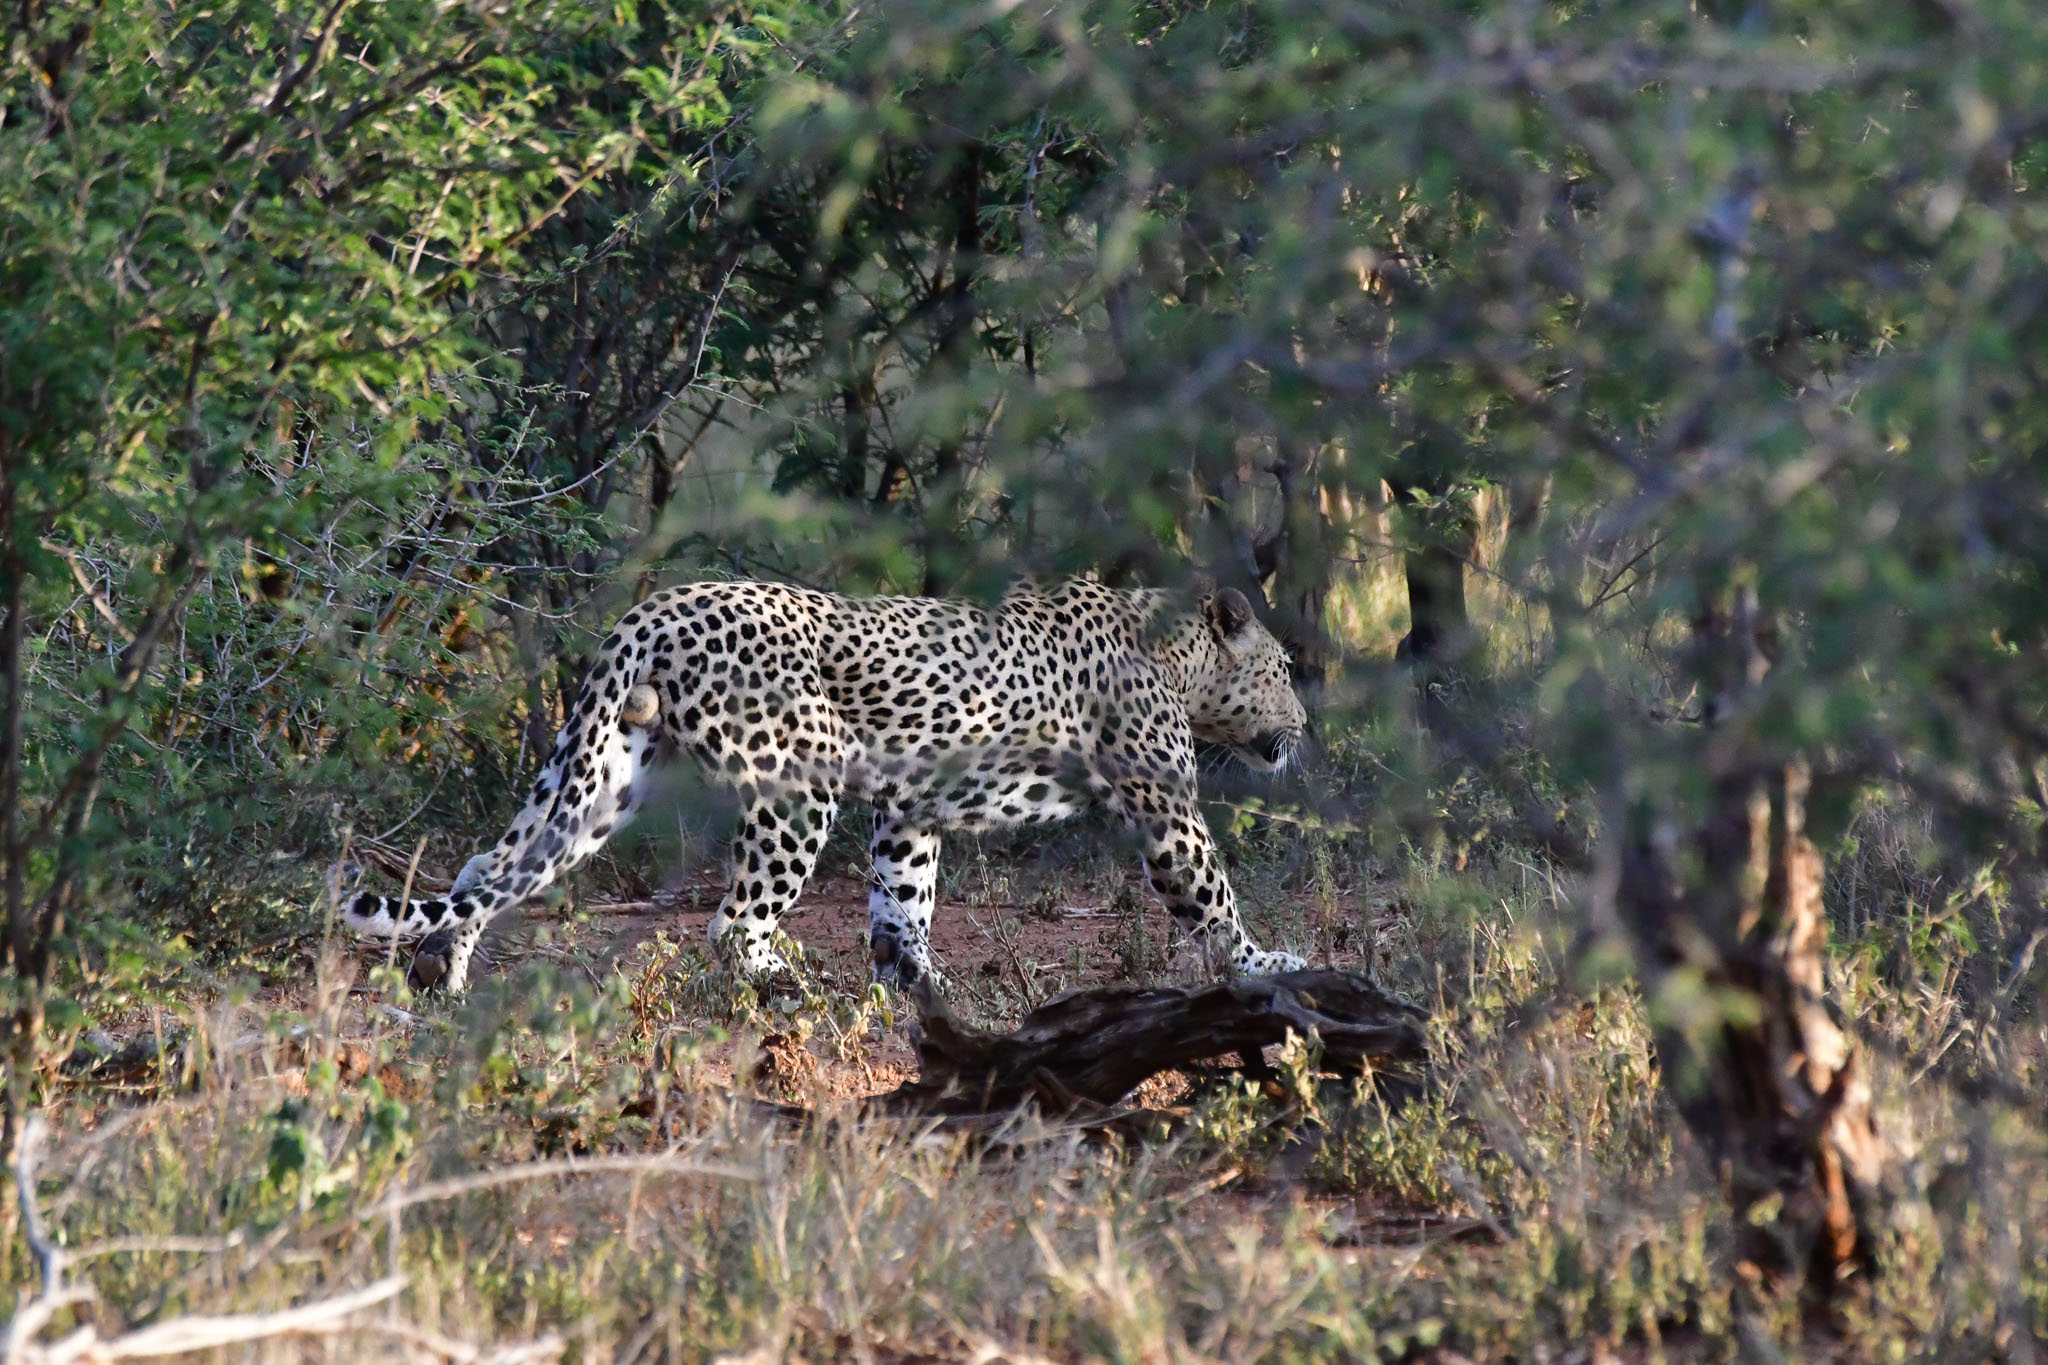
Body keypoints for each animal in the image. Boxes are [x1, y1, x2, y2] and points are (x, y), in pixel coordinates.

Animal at [340, 577, 1310, 994]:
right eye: (1287, 668)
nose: (1301, 724)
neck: (1180, 658)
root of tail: (650, 607)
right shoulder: (1166, 808)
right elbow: (1213, 896)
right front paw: (1266, 962)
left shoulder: (907, 802)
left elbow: (905, 897)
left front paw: (916, 980)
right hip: (795, 785)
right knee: (732, 924)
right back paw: (789, 979)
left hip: (604, 777)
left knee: (484, 869)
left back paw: (443, 975)